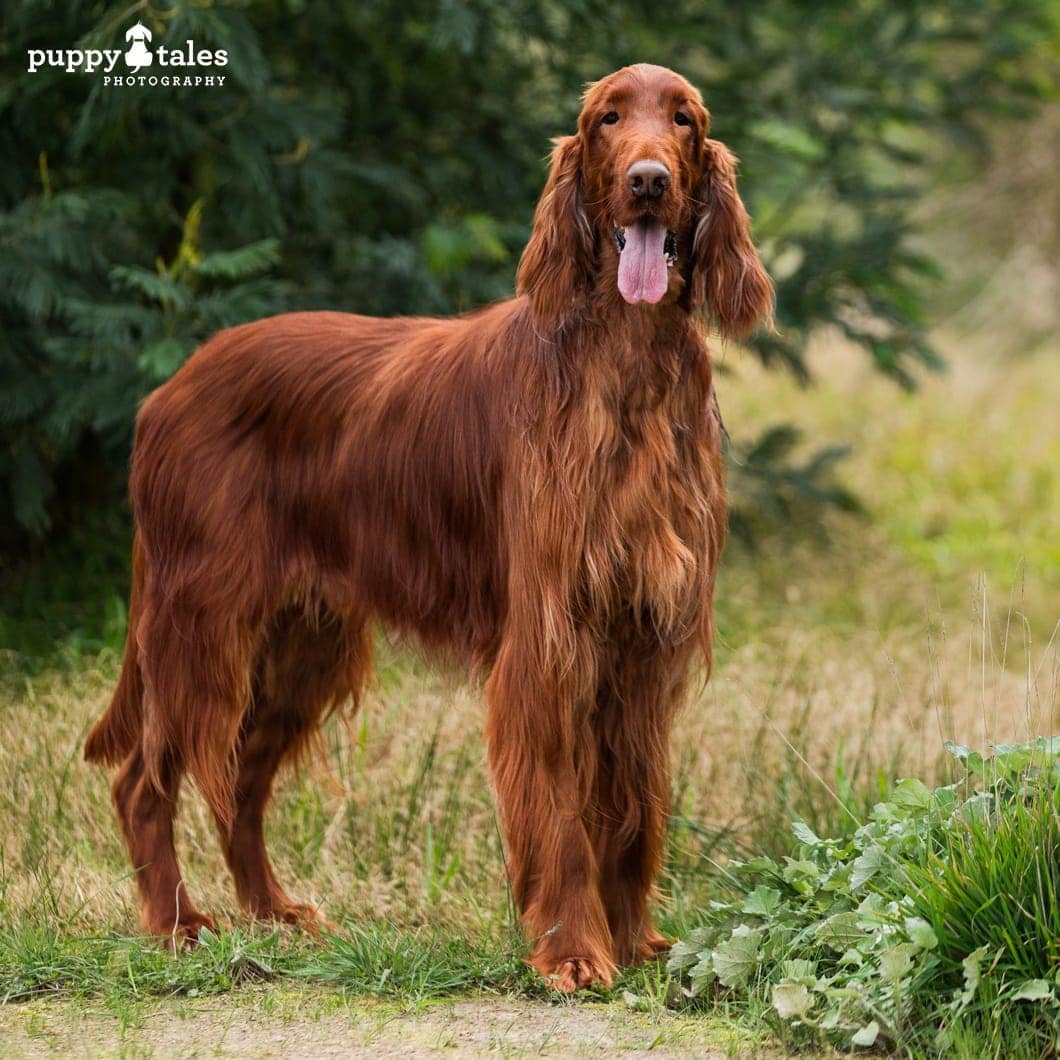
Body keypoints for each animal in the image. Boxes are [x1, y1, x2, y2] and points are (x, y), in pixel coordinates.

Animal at [84, 64, 771, 992]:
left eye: (685, 119)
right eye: (607, 119)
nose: (648, 181)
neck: (626, 364)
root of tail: (168, 390)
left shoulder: (639, 643)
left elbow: (632, 808)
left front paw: (633, 942)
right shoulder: (548, 646)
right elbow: (562, 812)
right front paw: (574, 950)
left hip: (301, 644)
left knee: (240, 782)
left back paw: (271, 912)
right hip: (202, 627)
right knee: (146, 781)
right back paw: (177, 923)